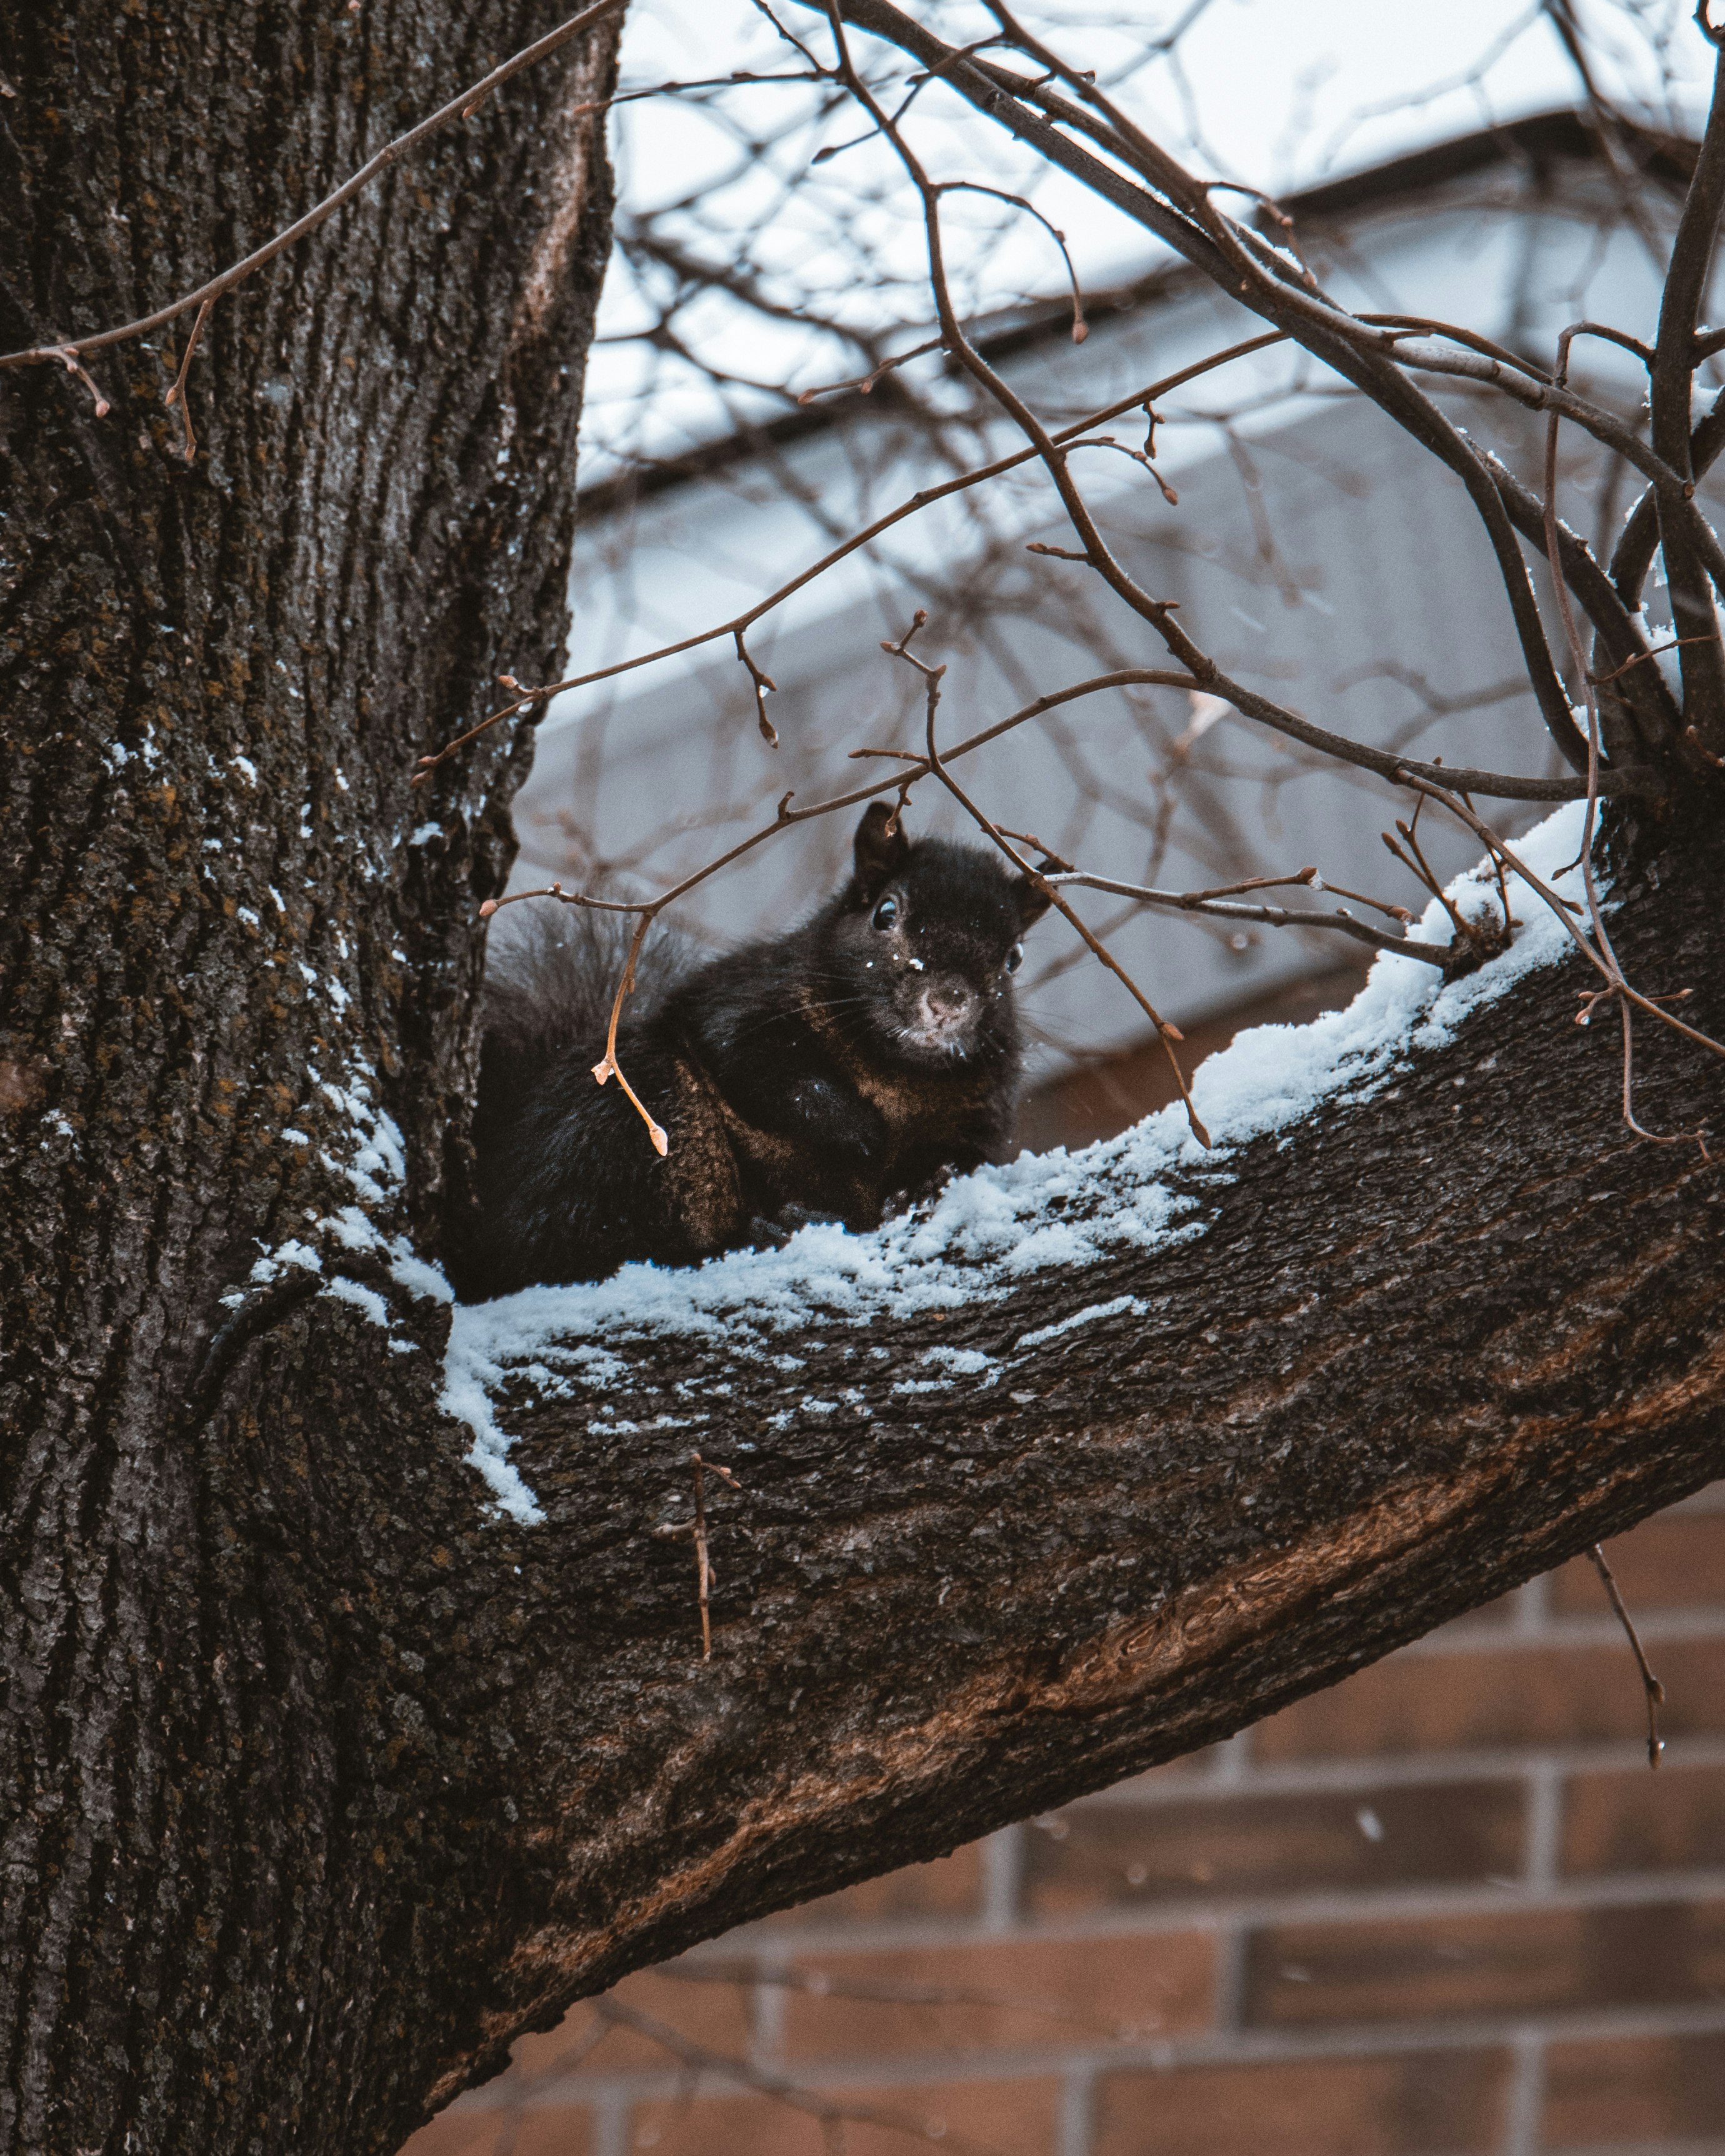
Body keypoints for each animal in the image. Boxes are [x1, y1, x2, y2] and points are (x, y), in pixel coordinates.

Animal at [461, 802, 1052, 1285]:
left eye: (1014, 957)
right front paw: (858, 1130)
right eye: (886, 913)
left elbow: (963, 1155)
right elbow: (766, 1072)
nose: (949, 999)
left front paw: (926, 1184)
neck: (894, 1066)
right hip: (632, 1114)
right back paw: (761, 1231)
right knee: (587, 1246)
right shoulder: (740, 1006)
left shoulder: (981, 1108)